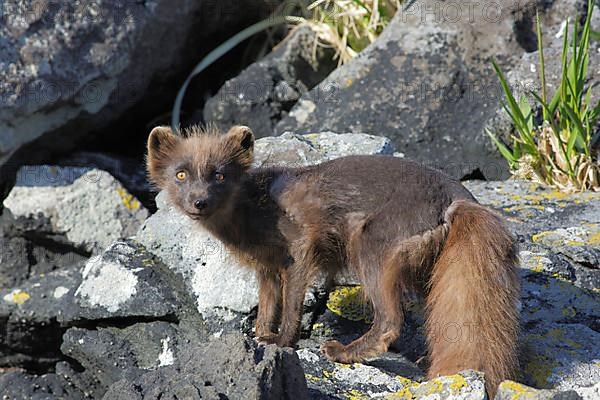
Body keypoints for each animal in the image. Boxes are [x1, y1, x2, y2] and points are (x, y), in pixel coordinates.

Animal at [146, 126, 520, 396]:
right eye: (181, 174)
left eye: (220, 174)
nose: (199, 202)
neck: (251, 212)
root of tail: (459, 198)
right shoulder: (265, 266)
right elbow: (267, 304)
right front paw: (260, 337)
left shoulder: (299, 248)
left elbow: (291, 305)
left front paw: (281, 343)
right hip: (428, 267)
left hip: (372, 244)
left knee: (390, 320)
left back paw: (342, 352)